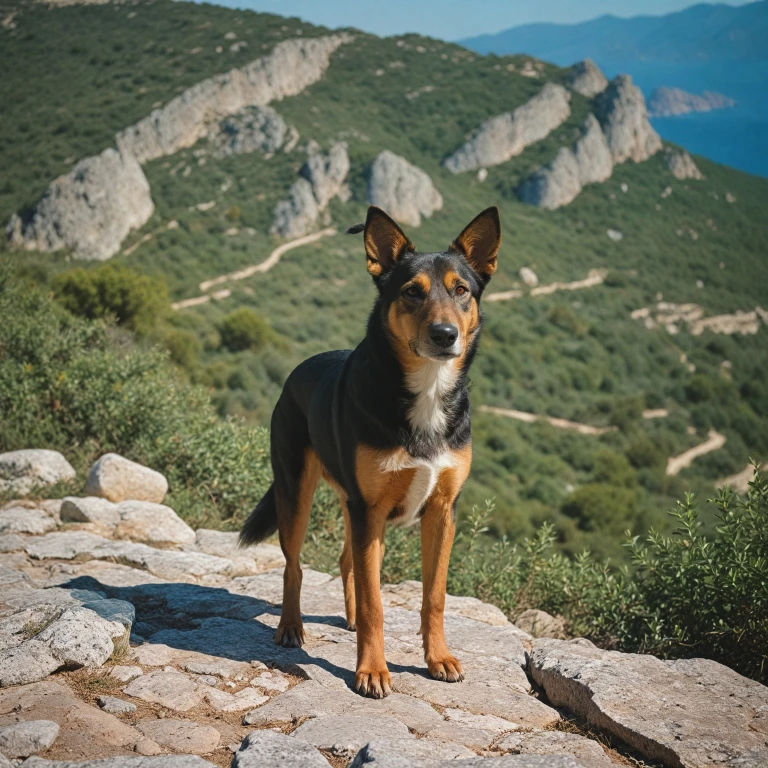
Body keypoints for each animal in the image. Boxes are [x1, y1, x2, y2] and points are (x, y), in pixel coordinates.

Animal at [242, 204, 504, 696]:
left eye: (461, 290)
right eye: (412, 292)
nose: (445, 334)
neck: (426, 391)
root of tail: (297, 370)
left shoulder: (441, 511)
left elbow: (433, 596)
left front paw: (437, 658)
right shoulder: (370, 510)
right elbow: (375, 604)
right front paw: (371, 670)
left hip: (354, 508)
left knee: (348, 561)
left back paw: (345, 619)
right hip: (297, 494)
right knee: (294, 566)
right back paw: (291, 627)